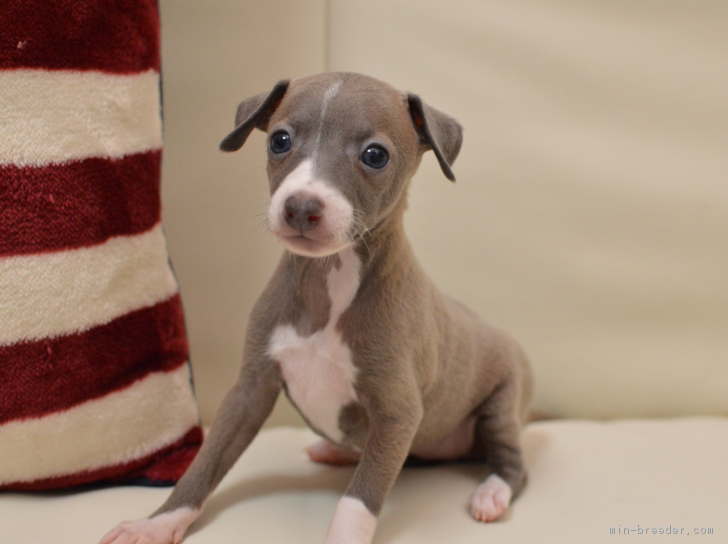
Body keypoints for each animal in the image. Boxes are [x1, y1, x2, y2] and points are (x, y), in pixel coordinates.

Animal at [99, 72, 536, 544]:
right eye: (280, 140)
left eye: (375, 155)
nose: (301, 207)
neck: (328, 284)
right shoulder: (250, 390)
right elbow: (205, 462)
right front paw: (157, 523)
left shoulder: (398, 411)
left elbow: (361, 497)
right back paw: (337, 450)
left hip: (501, 403)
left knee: (511, 464)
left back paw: (490, 494)